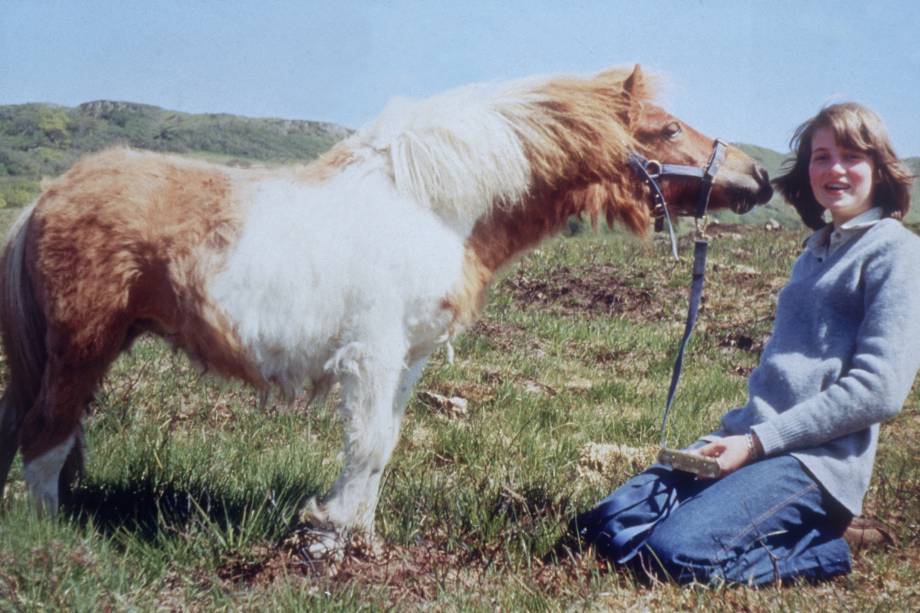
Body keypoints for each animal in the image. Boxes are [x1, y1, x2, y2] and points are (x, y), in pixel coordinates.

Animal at [0, 64, 772, 552]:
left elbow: (384, 443)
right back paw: (52, 539)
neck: (427, 207)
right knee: (45, 439)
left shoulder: (409, 357)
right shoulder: (371, 353)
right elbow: (367, 444)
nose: (760, 176)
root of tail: (47, 196)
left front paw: (360, 534)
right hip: (81, 350)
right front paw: (331, 536)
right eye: (666, 131)